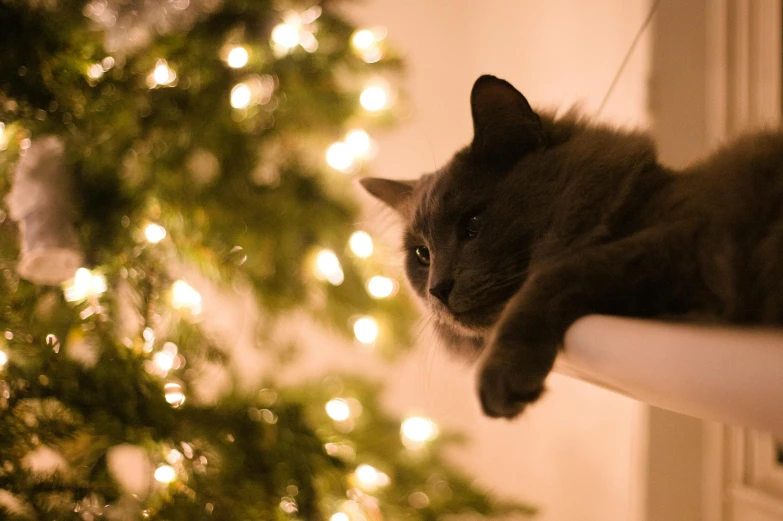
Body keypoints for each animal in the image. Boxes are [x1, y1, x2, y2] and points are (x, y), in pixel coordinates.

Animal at [362, 75, 783, 418]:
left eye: (473, 225)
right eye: (422, 255)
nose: (438, 289)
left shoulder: (682, 234)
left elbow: (551, 279)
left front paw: (500, 376)